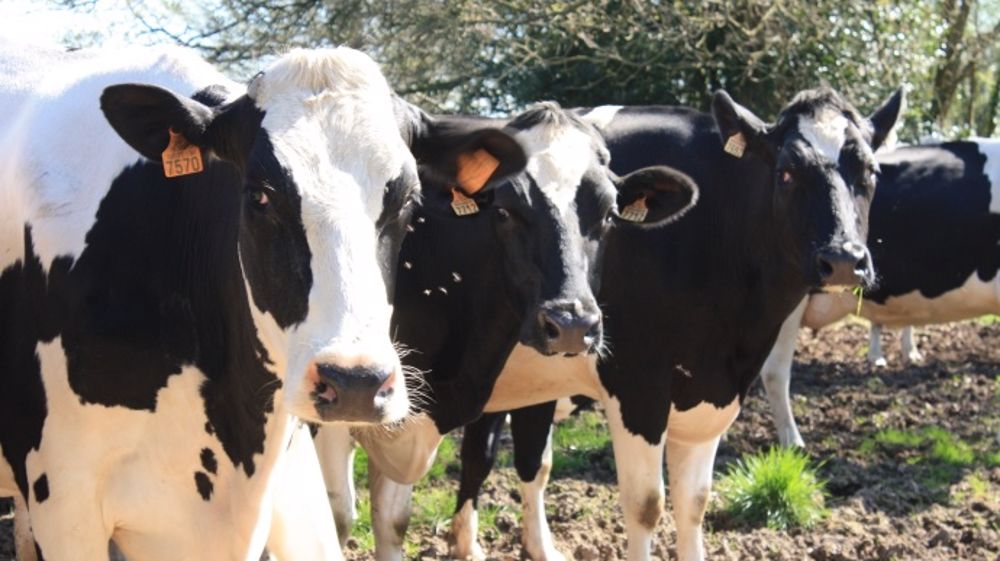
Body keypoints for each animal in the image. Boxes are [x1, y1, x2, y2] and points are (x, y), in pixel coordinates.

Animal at [440, 86, 905, 561]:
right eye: (788, 172)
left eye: (870, 171)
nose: (844, 259)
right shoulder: (636, 385)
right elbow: (646, 504)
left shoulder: (711, 391)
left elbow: (694, 501)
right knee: (492, 453)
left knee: (508, 454)